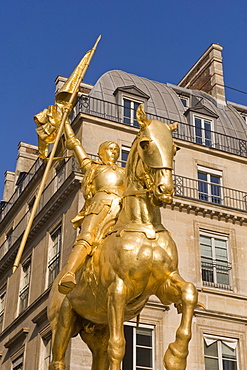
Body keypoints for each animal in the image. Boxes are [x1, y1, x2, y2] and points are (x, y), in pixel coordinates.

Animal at [47, 105, 199, 368]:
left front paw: (176, 355)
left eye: (175, 148)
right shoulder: (118, 290)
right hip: (64, 320)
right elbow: (118, 346)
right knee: (57, 360)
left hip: (96, 326)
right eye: (146, 144)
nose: (165, 190)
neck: (144, 227)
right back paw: (66, 279)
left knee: (99, 356)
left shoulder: (164, 283)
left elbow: (190, 292)